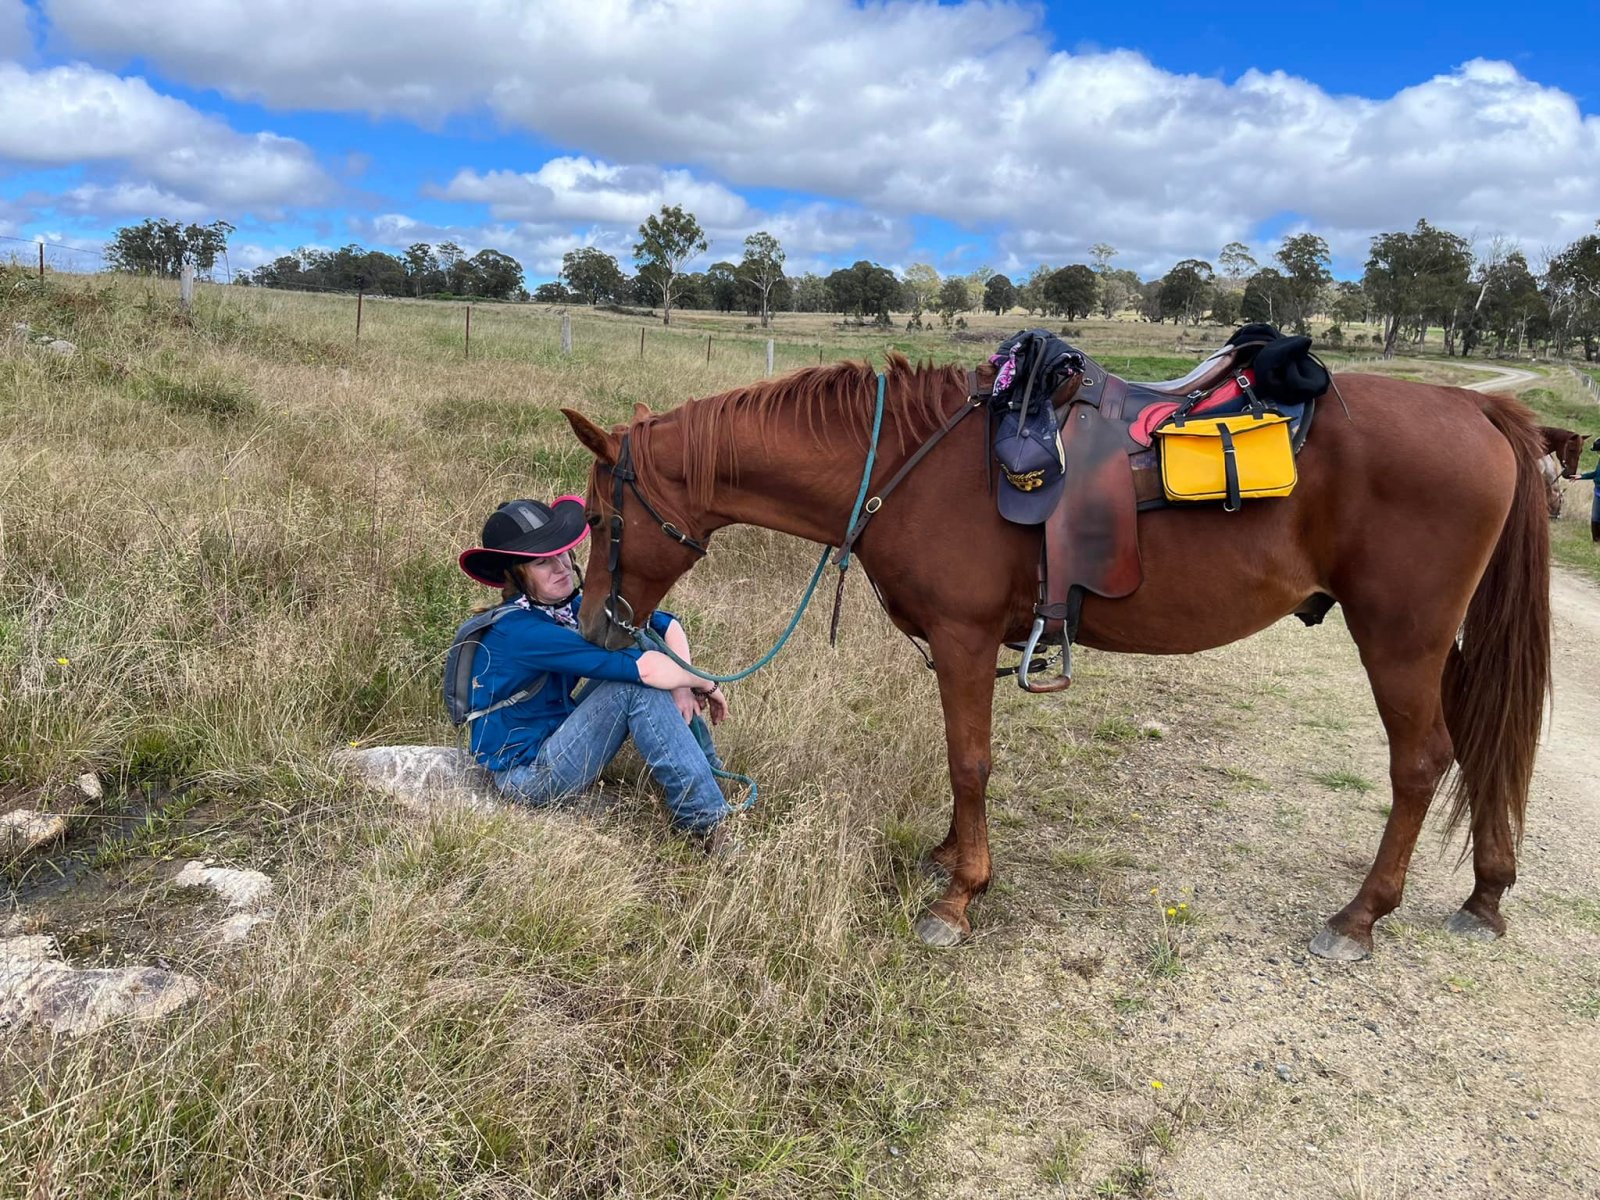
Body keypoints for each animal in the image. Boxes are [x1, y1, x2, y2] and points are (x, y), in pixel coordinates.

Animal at [561, 353, 1550, 962]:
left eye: (605, 518)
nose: (598, 629)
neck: (913, 469)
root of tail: (1475, 407)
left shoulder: (962, 638)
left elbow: (969, 760)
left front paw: (959, 898)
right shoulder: (955, 649)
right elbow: (960, 763)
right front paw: (947, 858)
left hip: (1400, 637)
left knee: (1422, 763)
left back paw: (1359, 917)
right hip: (1437, 644)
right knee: (1481, 749)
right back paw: (1486, 894)